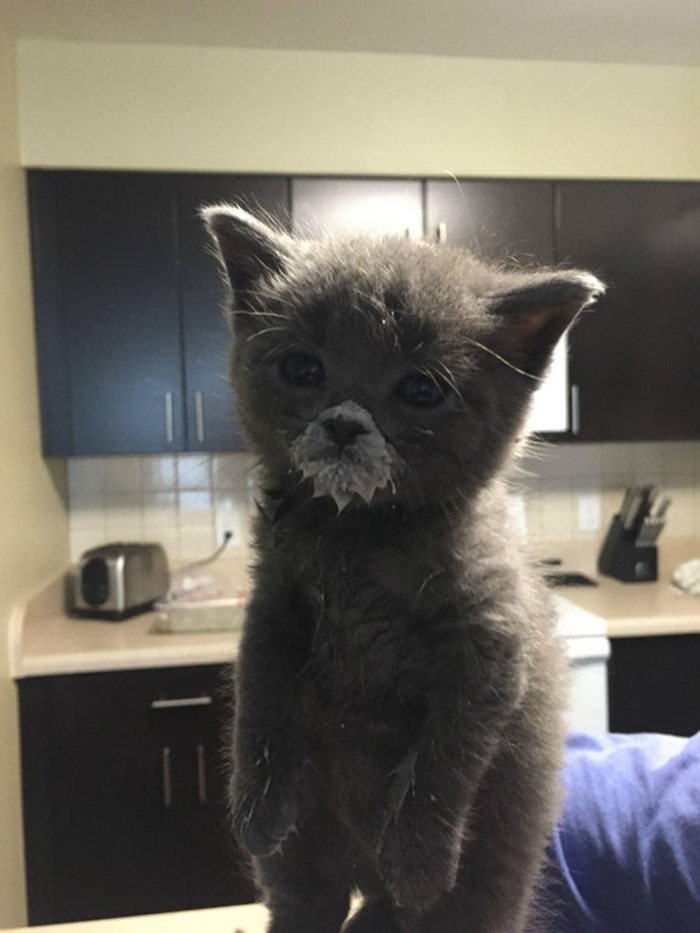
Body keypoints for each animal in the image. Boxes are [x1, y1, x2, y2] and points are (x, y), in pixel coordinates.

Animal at [202, 206, 600, 932]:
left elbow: (444, 759)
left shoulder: (490, 642)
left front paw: (417, 858)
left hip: (488, 883)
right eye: (302, 368)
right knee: (306, 899)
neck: (361, 536)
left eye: (420, 389)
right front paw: (255, 809)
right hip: (310, 858)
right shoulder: (274, 603)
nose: (343, 423)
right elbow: (258, 696)